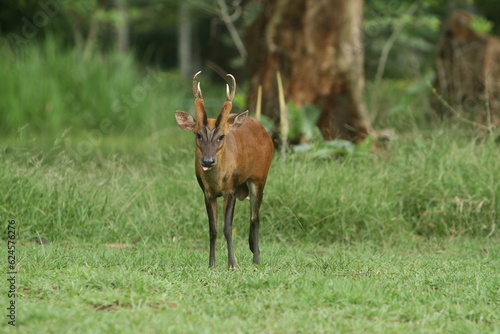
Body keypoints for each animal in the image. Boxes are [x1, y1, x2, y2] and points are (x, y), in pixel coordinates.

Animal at [173, 71, 274, 268]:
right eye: (198, 135)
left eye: (221, 136)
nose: (208, 161)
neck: (217, 181)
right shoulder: (207, 192)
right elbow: (213, 228)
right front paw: (211, 263)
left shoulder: (231, 189)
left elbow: (228, 227)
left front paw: (232, 264)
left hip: (259, 178)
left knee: (255, 218)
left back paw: (256, 259)